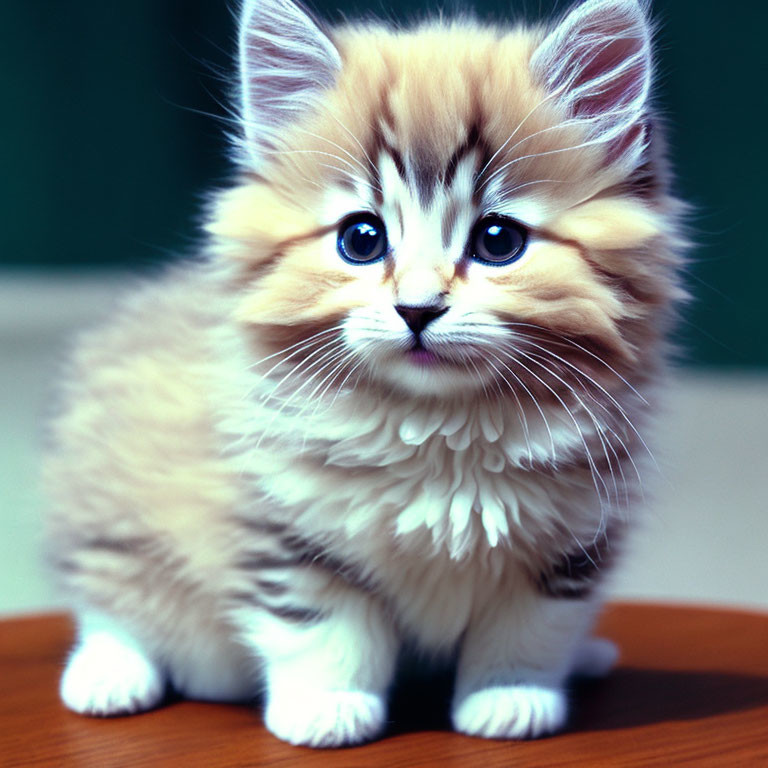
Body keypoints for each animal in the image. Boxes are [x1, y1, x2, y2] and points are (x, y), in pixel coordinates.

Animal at [45, 0, 688, 748]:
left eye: (498, 241)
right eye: (362, 239)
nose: (417, 308)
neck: (442, 430)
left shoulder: (573, 540)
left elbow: (529, 629)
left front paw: (511, 697)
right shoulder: (284, 525)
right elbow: (325, 627)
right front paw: (327, 707)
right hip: (111, 506)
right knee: (111, 602)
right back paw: (109, 676)